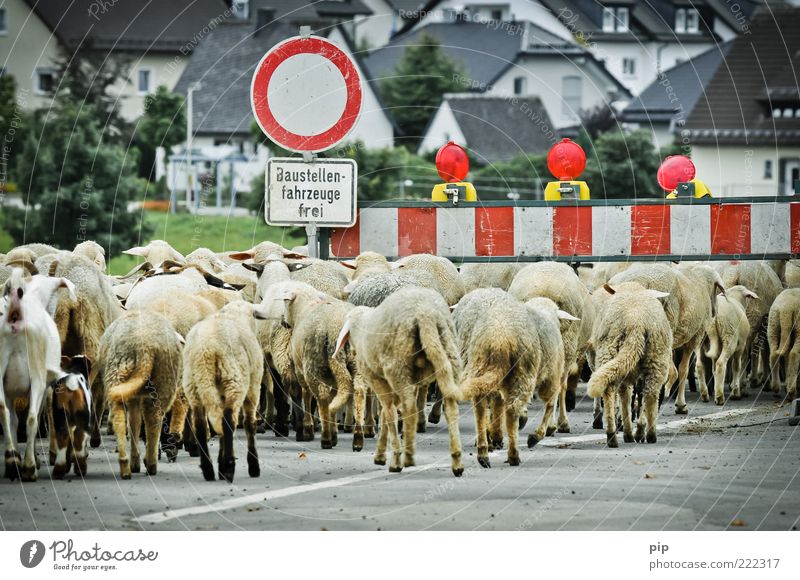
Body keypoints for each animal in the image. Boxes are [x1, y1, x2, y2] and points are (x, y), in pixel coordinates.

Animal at [0, 270, 77, 482]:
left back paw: (12, 463)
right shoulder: (44, 385)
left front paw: (14, 458)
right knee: (32, 417)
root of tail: (15, 315)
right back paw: (28, 467)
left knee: (3, 412)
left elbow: (12, 419)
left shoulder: (9, 390)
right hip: (37, 376)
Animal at [91, 310, 182, 478]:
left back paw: (130, 465)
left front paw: (136, 462)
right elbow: (135, 421)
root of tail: (145, 347)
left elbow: (133, 421)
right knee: (152, 417)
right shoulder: (135, 395)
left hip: (118, 369)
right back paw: (145, 464)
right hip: (163, 378)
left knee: (122, 416)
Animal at [334, 286, 466, 476]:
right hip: (449, 354)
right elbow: (385, 413)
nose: (351, 352)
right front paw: (380, 454)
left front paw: (392, 456)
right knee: (450, 408)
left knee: (410, 407)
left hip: (398, 366)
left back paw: (406, 458)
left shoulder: (377, 380)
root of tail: (425, 314)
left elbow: (389, 412)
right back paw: (457, 462)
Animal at [584, 282, 672, 448]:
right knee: (649, 393)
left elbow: (626, 397)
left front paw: (628, 432)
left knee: (614, 391)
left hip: (612, 350)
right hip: (655, 356)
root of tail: (635, 323)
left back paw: (616, 434)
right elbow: (630, 397)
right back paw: (646, 434)